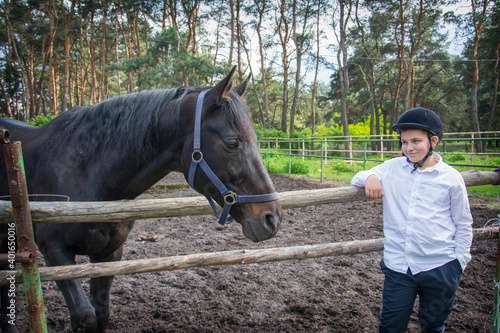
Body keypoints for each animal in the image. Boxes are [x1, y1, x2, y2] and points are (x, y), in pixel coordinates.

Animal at [0, 68, 282, 332]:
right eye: (232, 143)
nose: (272, 219)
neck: (86, 172)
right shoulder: (54, 250)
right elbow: (85, 316)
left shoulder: (109, 253)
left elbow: (101, 314)